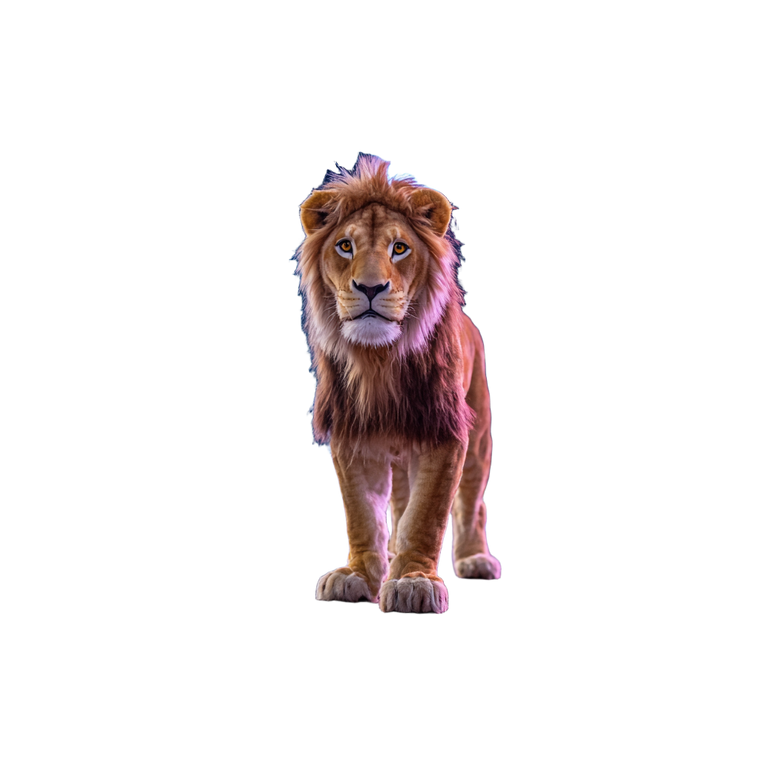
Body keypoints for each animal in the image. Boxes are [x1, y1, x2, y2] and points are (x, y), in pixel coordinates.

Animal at [291, 151, 502, 615]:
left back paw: (475, 559)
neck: (378, 361)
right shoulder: (351, 435)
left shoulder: (445, 434)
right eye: (345, 245)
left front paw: (413, 582)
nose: (370, 287)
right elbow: (361, 515)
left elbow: (425, 515)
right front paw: (358, 575)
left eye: (399, 248)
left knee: (472, 503)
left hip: (479, 434)